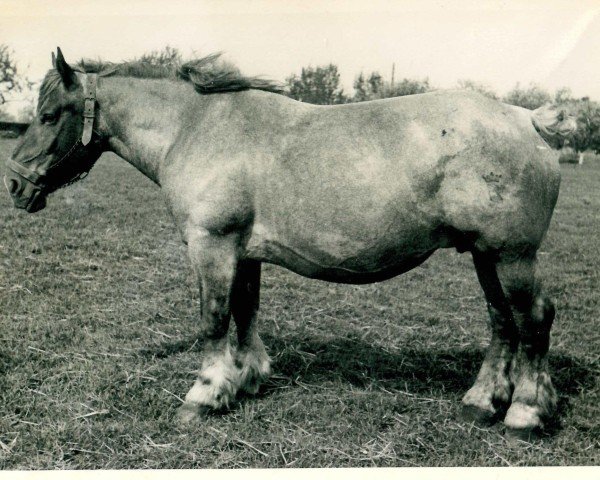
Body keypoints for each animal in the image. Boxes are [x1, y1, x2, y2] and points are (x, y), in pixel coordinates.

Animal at [4, 48, 576, 438]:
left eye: (50, 115)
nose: (14, 185)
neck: (196, 128)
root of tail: (526, 119)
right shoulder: (243, 253)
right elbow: (245, 313)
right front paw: (246, 379)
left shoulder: (211, 247)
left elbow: (214, 320)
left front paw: (205, 393)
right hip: (484, 254)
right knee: (502, 322)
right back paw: (481, 401)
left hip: (511, 256)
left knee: (533, 319)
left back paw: (525, 412)